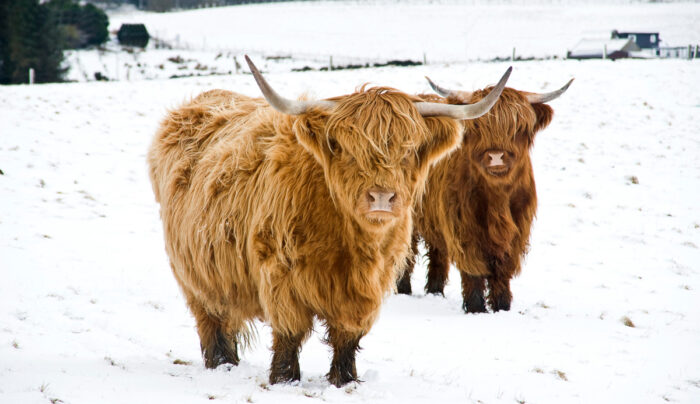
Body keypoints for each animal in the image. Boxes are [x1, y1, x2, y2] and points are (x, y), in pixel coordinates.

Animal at [148, 56, 508, 386]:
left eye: (409, 151)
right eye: (346, 149)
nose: (381, 197)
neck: (350, 244)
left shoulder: (368, 288)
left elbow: (347, 337)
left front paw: (344, 379)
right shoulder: (281, 277)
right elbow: (289, 334)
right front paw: (285, 379)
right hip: (194, 274)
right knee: (211, 322)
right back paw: (221, 364)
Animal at [396, 77, 572, 314]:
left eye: (519, 126)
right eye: (478, 126)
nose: (496, 156)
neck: (498, 198)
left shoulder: (517, 230)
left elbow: (502, 271)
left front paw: (502, 306)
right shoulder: (463, 226)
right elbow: (474, 269)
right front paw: (476, 307)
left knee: (438, 253)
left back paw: (435, 291)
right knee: (407, 252)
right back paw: (403, 288)